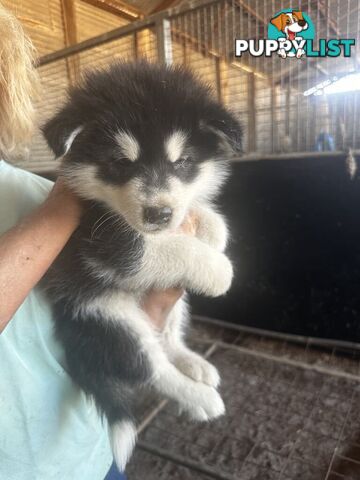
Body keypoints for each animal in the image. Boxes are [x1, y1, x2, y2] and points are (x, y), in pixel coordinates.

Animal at [42, 60, 242, 468]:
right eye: (121, 163)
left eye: (182, 162)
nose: (158, 214)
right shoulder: (102, 243)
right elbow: (166, 248)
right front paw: (218, 269)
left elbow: (200, 214)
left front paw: (214, 232)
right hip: (108, 317)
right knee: (150, 367)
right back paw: (199, 397)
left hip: (174, 306)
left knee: (167, 337)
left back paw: (193, 363)